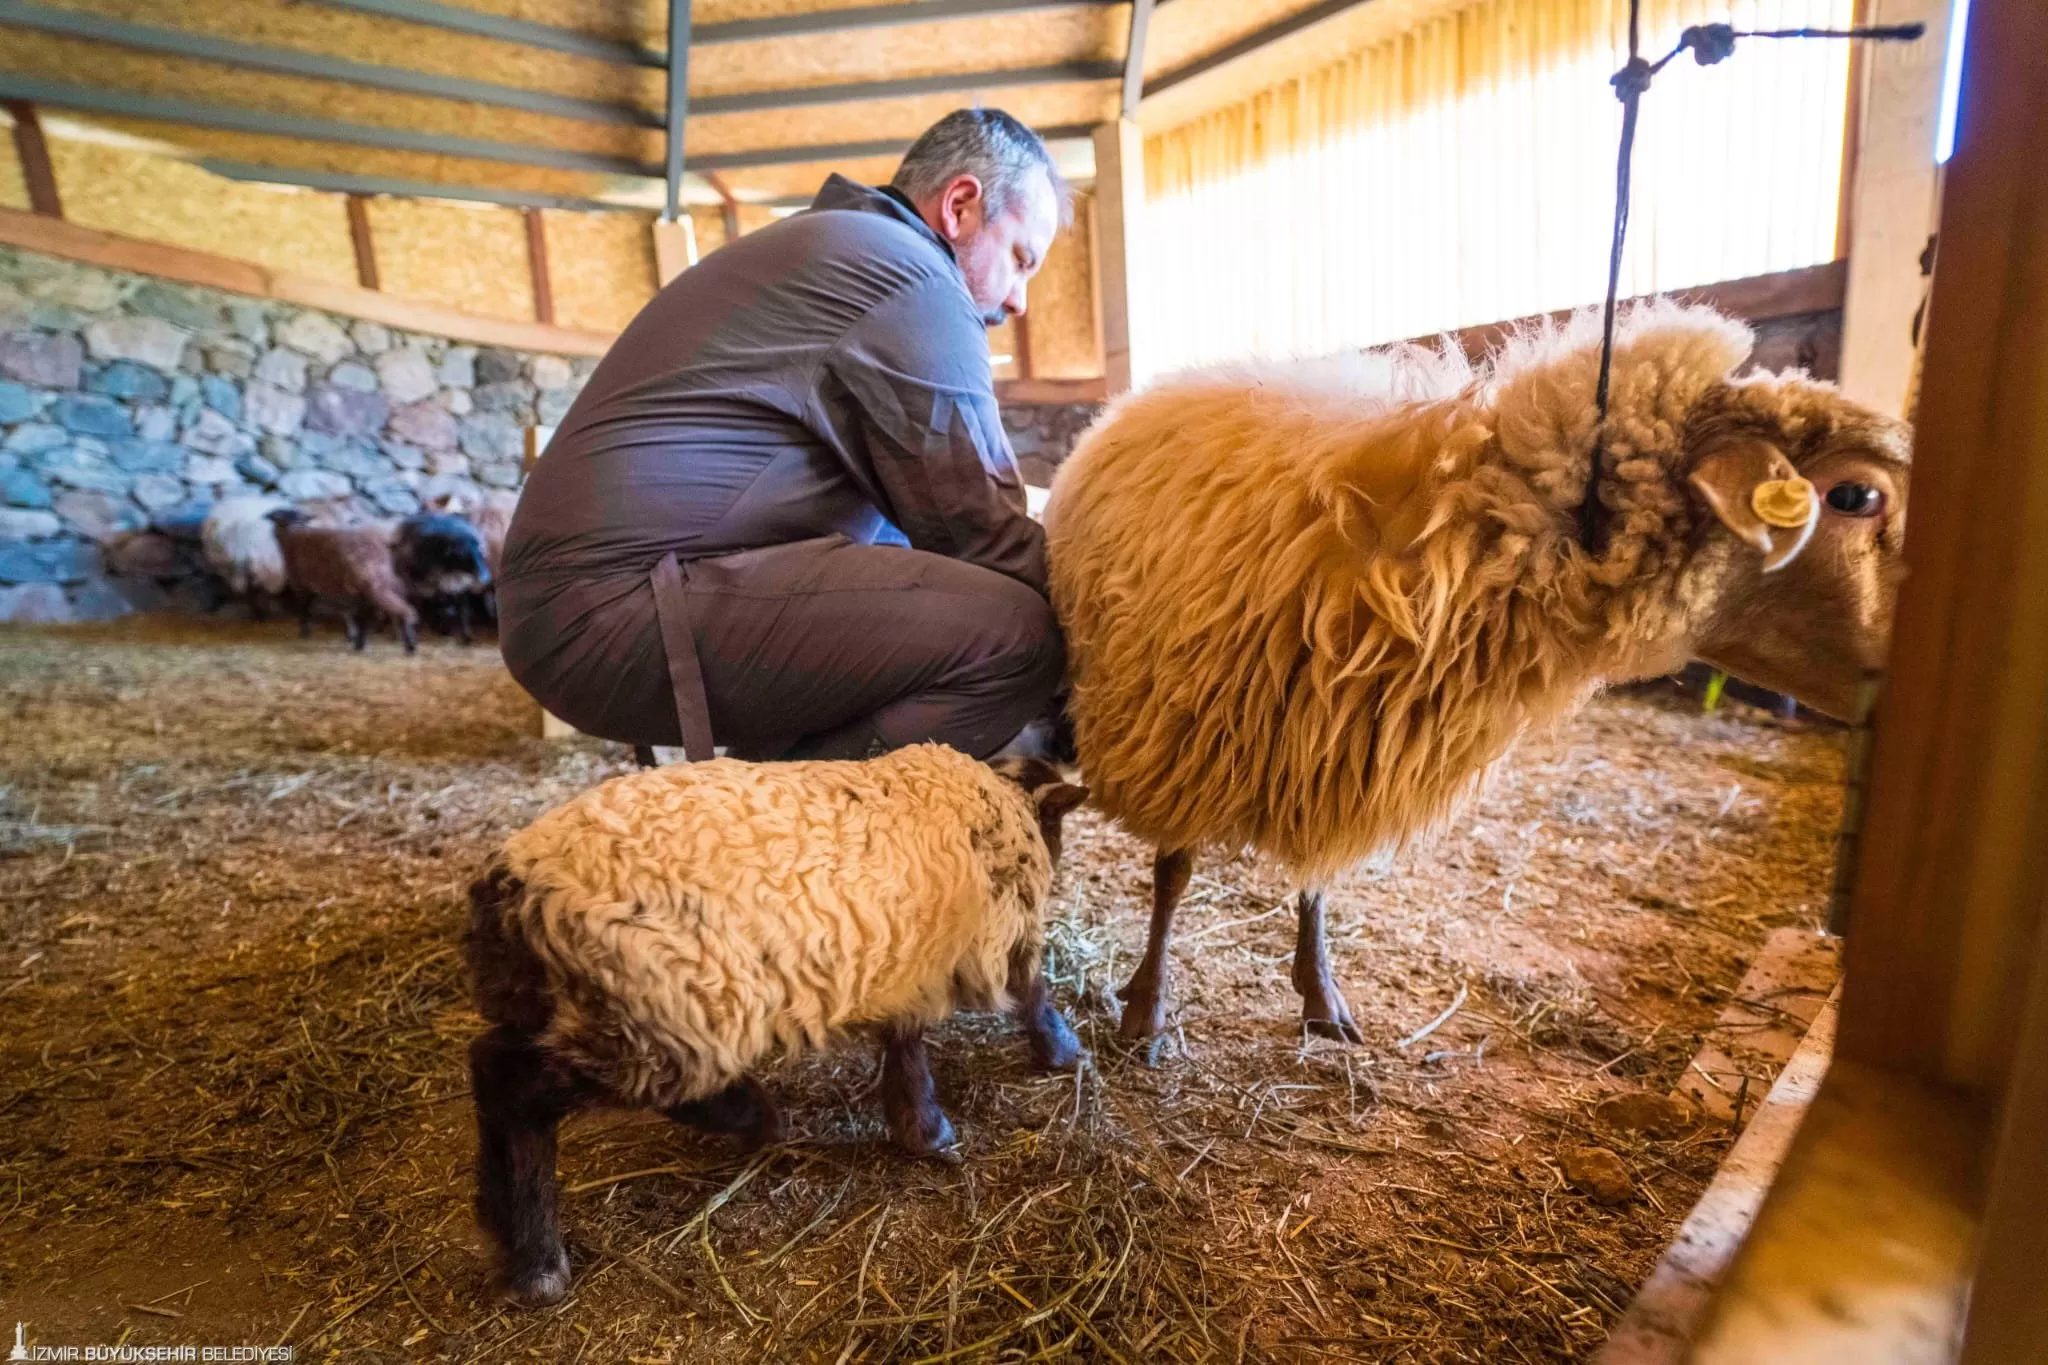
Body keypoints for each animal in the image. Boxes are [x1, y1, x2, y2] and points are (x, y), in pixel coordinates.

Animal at [270, 509, 417, 654]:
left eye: (301, 519)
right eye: (280, 521)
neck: (292, 535)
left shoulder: (302, 585)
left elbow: (306, 610)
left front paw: (305, 632)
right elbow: (344, 611)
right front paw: (350, 634)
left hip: (364, 583)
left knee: (372, 614)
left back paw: (362, 645)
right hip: (386, 584)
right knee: (395, 610)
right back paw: (408, 644)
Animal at [460, 749, 1089, 1309]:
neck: (998, 798)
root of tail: (511, 889)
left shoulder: (903, 957)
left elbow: (905, 1041)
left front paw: (917, 1125)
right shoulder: (992, 941)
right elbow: (1030, 993)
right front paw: (1060, 1053)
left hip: (565, 1008)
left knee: (493, 1066)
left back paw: (501, 1227)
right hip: (658, 1016)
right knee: (519, 1088)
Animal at [1048, 300, 1908, 1047]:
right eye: (1857, 494)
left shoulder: (1335, 736)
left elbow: (1318, 879)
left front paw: (1321, 995)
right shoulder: (1177, 728)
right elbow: (1173, 872)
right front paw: (1148, 1006)